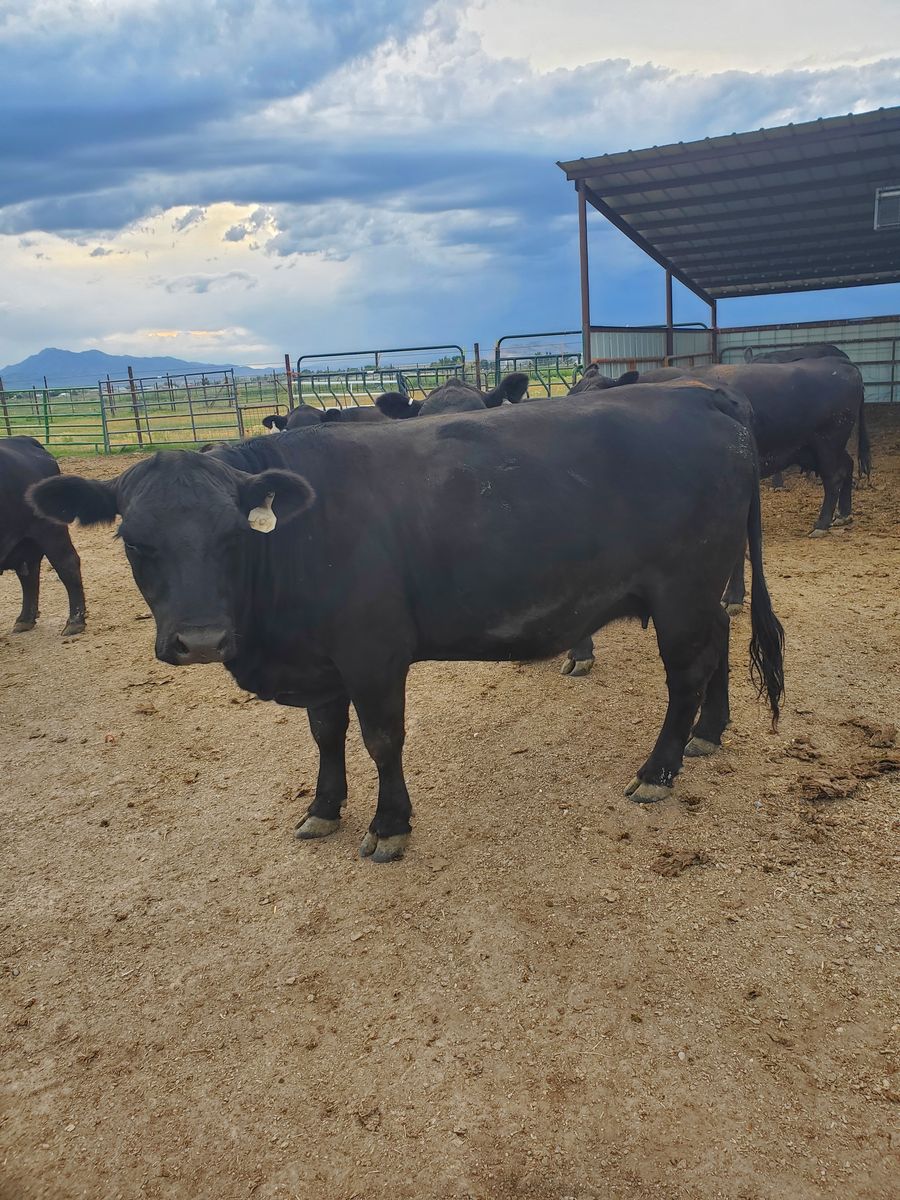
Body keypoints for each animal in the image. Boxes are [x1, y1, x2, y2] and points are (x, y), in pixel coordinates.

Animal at [1, 436, 86, 636]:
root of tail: (22, 441)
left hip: (49, 531)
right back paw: (25, 620)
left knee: (67, 565)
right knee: (29, 575)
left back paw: (74, 622)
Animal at [31, 384, 784, 863]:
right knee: (718, 648)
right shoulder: (322, 661)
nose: (202, 640)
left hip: (683, 590)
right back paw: (708, 734)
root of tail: (702, 394)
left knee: (686, 672)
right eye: (135, 541)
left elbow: (381, 739)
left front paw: (389, 824)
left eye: (231, 535)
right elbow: (326, 736)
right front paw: (323, 808)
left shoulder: (373, 653)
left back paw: (658, 770)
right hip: (702, 590)